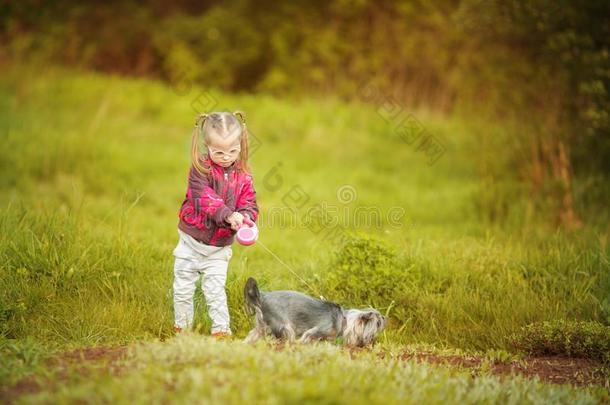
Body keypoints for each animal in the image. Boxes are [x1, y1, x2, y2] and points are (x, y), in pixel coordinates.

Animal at [242, 276, 384, 346]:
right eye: (377, 324)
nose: (385, 319)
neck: (344, 320)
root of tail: (262, 296)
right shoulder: (315, 331)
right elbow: (307, 338)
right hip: (284, 325)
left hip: (261, 326)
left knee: (253, 335)